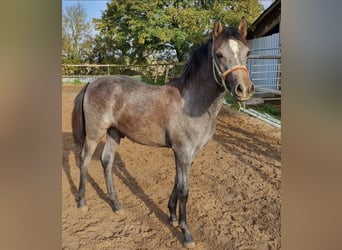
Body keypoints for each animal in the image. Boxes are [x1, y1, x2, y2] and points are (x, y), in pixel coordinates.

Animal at [71, 18, 254, 248]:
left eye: (247, 52)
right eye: (219, 54)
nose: (244, 90)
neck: (192, 102)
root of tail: (91, 82)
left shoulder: (189, 154)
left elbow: (177, 183)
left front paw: (172, 216)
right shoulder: (183, 152)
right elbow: (184, 190)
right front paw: (186, 233)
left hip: (114, 133)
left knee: (107, 162)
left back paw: (116, 204)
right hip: (95, 133)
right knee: (85, 161)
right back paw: (82, 201)